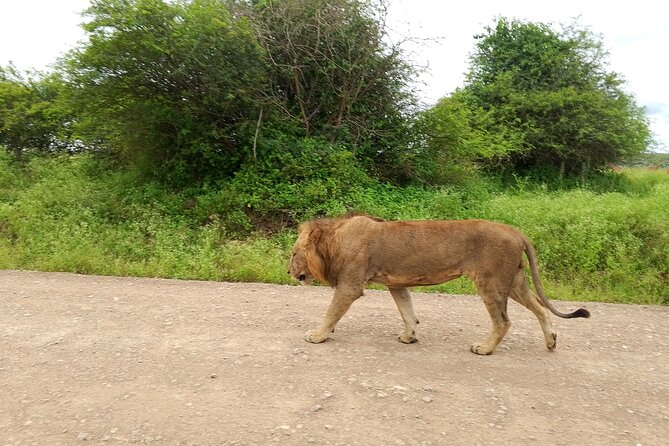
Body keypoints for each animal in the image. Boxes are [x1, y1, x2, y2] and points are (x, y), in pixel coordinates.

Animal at [288, 214, 590, 355]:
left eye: (293, 254)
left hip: (490, 282)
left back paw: (484, 349)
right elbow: (407, 312)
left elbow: (331, 312)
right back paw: (550, 341)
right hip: (514, 282)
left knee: (503, 321)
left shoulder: (350, 286)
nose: (288, 271)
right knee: (540, 309)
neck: (334, 242)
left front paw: (317, 335)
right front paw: (409, 337)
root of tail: (515, 231)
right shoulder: (396, 283)